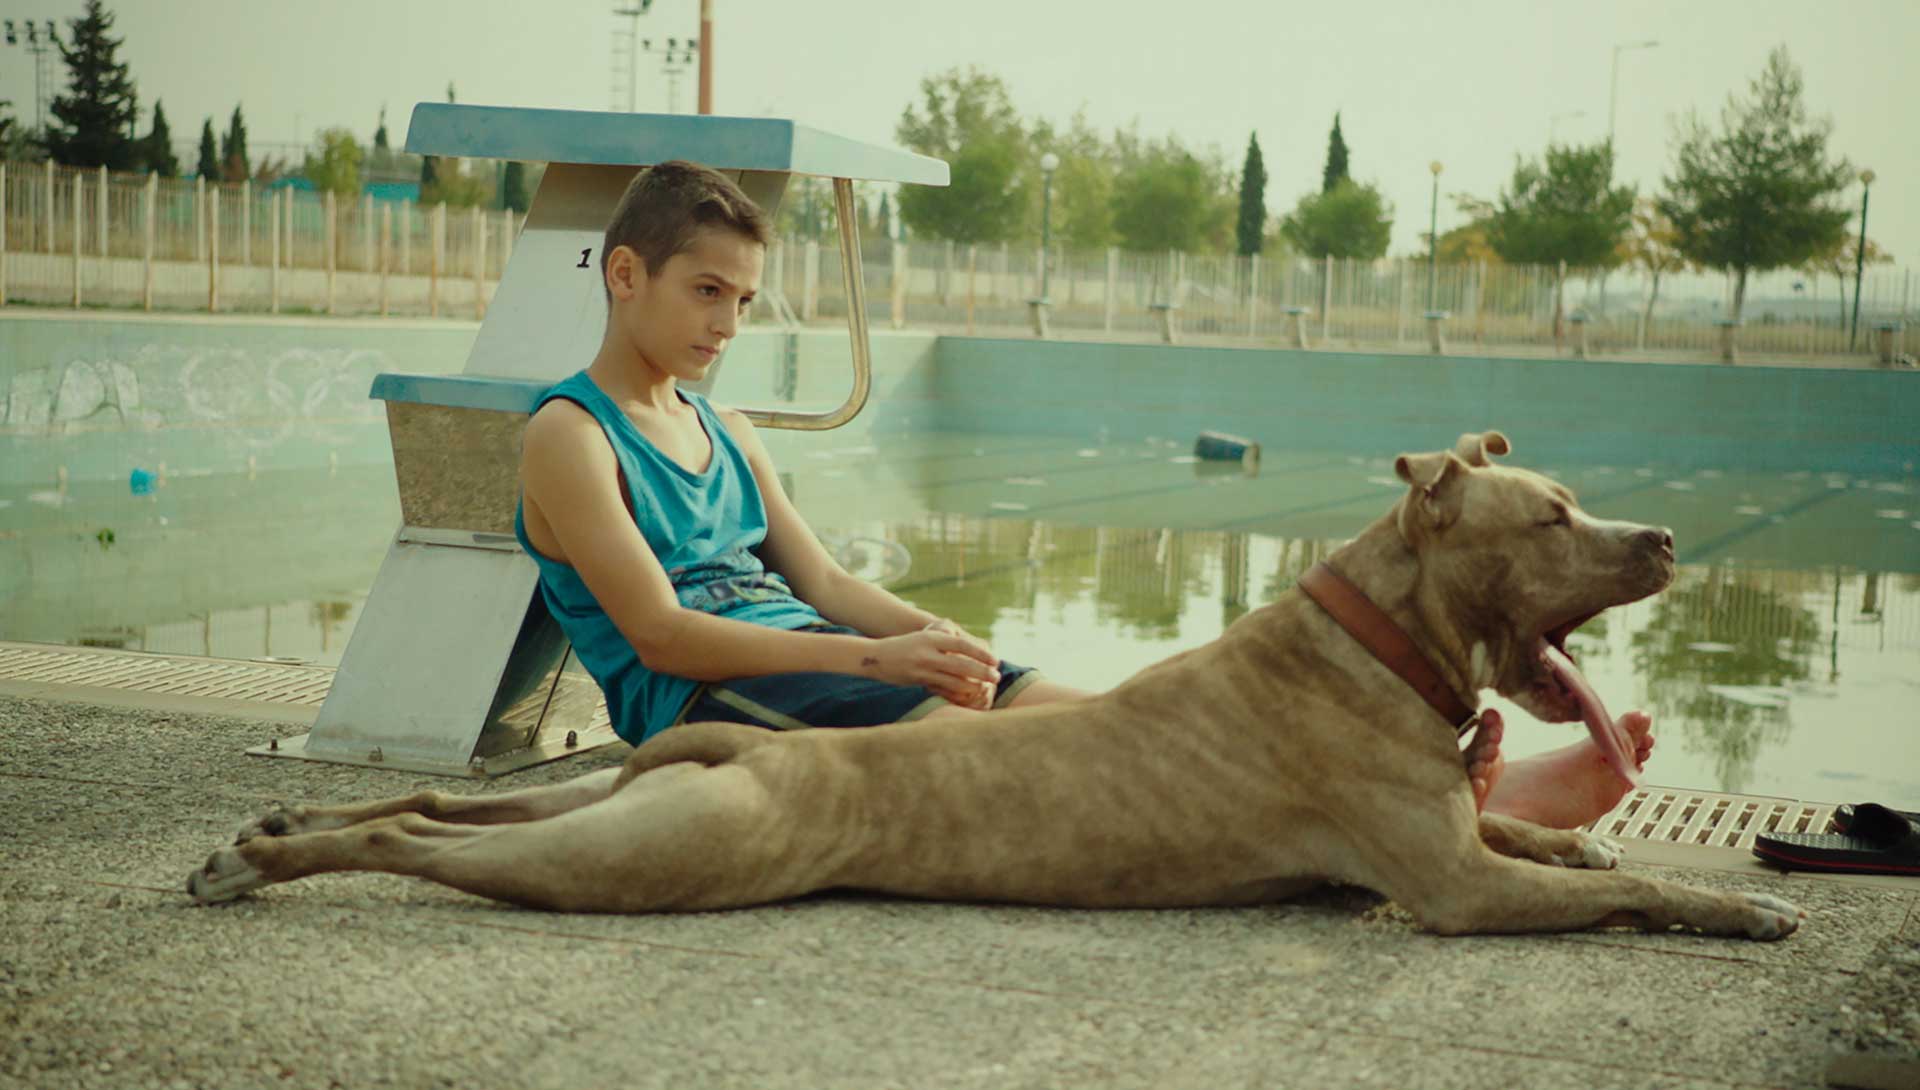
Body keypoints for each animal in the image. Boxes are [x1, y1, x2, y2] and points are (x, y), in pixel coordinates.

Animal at [187, 429, 1804, 940]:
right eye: (1554, 515)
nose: (1664, 537)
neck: (1376, 635)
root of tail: (740, 748)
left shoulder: (1460, 840)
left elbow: (1550, 839)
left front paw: (1586, 835)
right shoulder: (1454, 889)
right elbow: (1634, 889)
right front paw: (1741, 905)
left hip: (626, 801)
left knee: (449, 811)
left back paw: (274, 837)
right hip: (661, 856)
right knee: (424, 838)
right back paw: (261, 861)